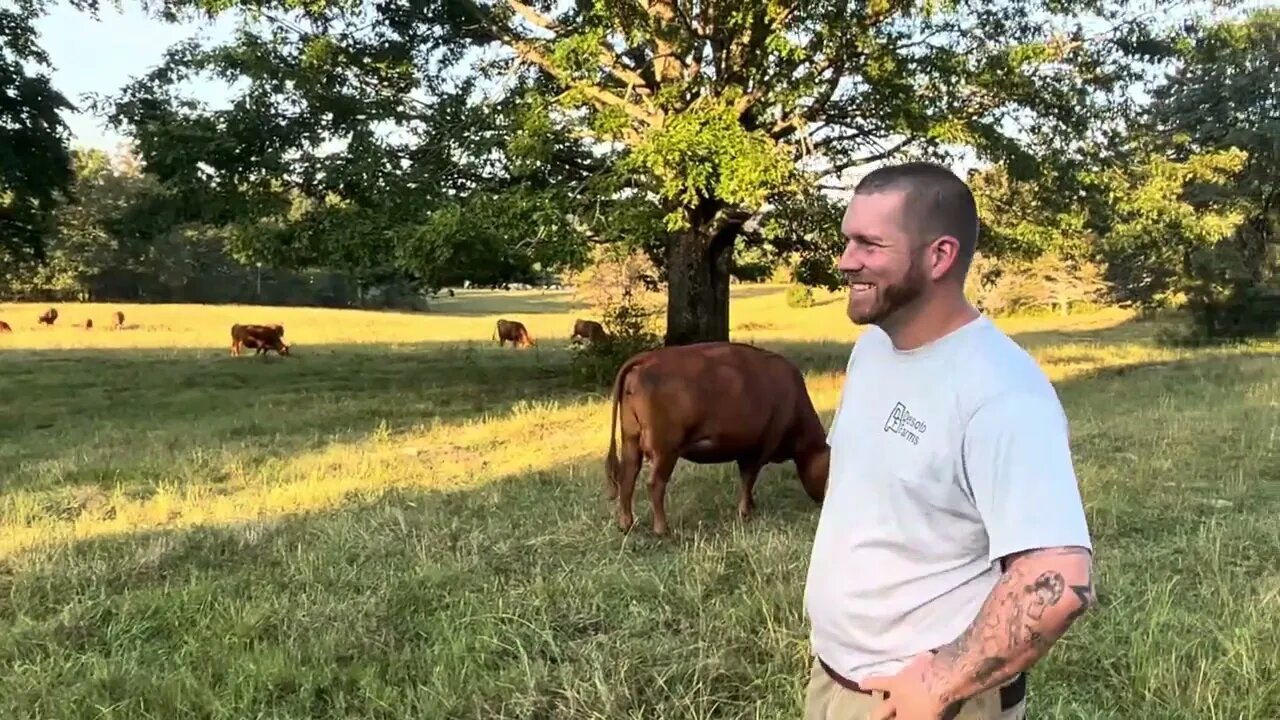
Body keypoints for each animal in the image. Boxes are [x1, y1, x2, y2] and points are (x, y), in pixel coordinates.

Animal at [601, 340, 829, 532]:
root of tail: (646, 359)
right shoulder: (759, 449)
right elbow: (748, 479)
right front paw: (745, 512)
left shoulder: (746, 450)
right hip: (665, 450)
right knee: (655, 483)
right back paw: (662, 529)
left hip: (631, 442)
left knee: (628, 477)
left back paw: (626, 524)